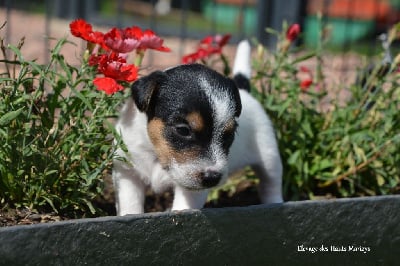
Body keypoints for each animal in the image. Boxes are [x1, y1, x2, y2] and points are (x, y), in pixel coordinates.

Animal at [111, 39, 282, 215]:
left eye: (230, 134)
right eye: (183, 130)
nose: (212, 178)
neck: (156, 154)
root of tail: (245, 91)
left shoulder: (192, 189)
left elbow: (183, 208)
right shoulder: (127, 173)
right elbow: (130, 205)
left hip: (269, 158)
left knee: (271, 184)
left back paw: (274, 204)